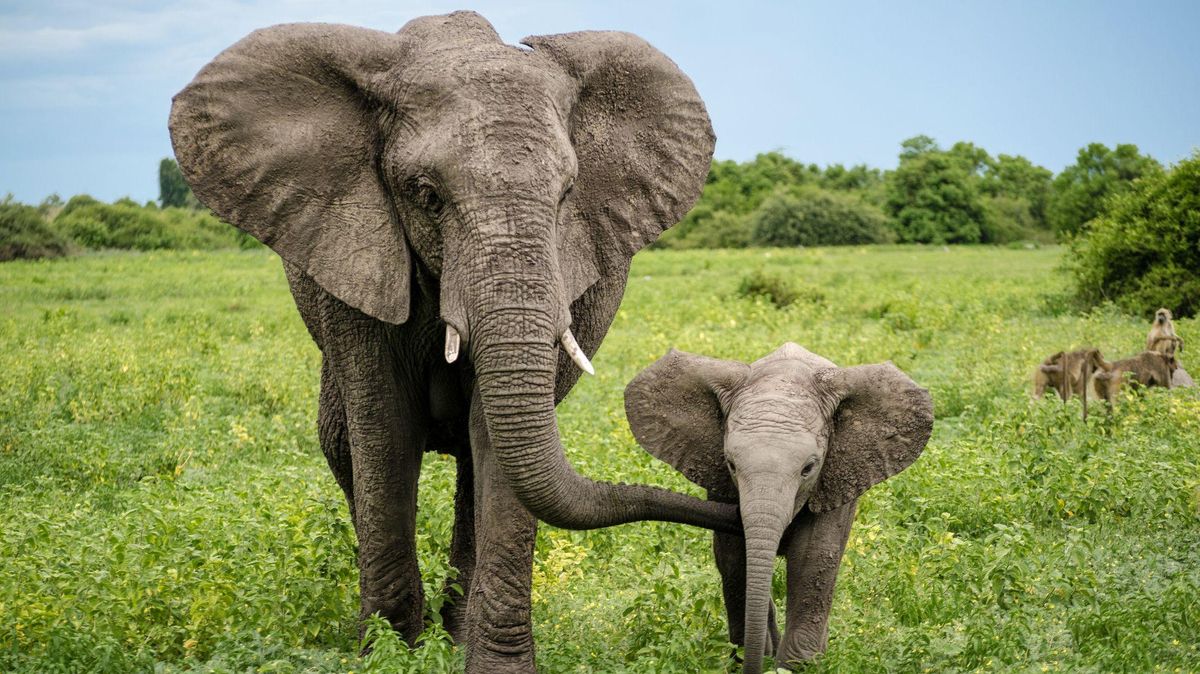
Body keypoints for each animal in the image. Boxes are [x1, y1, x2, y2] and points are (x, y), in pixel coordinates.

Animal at [168, 11, 740, 671]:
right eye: (426, 194)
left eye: (568, 194)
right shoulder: (355, 263)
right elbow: (383, 430)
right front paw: (389, 656)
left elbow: (494, 438)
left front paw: (492, 666)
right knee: (342, 446)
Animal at [624, 343, 933, 672]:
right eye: (731, 464)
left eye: (808, 468)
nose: (754, 666)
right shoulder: (719, 480)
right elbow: (734, 557)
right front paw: (749, 656)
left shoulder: (837, 476)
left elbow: (813, 557)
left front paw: (796, 665)